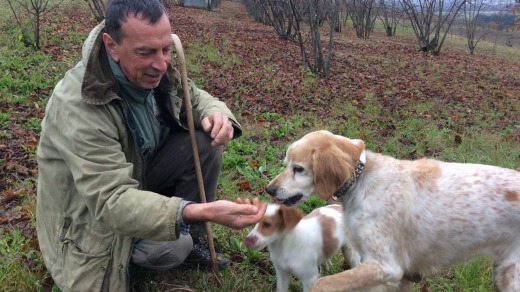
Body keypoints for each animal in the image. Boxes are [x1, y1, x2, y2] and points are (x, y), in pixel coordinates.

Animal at [266, 131, 516, 292]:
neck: (362, 180)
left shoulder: (387, 266)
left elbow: (322, 283)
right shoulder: (401, 275)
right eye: (286, 163)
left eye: (298, 169)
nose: (269, 189)